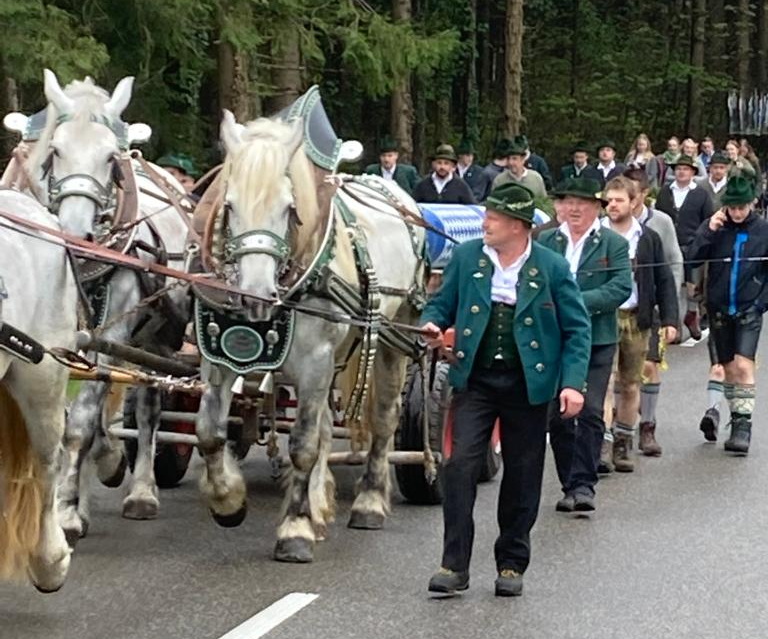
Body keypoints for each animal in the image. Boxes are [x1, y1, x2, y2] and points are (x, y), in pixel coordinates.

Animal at [21, 70, 193, 539]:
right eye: (55, 150)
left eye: (112, 159)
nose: (77, 234)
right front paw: (70, 502)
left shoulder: (112, 328)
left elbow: (80, 420)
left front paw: (65, 511)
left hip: (158, 336)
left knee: (150, 405)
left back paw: (141, 492)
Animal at [194, 110, 427, 562]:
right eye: (228, 205)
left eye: (289, 209)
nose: (255, 296)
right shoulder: (218, 357)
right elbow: (209, 431)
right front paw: (228, 500)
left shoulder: (315, 358)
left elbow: (302, 445)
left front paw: (296, 528)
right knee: (323, 428)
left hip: (393, 336)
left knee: (383, 418)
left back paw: (369, 502)